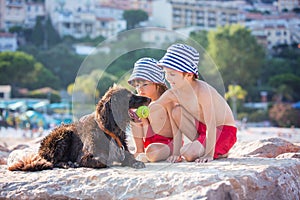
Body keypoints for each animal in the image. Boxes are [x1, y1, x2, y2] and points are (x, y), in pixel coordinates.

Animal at [8, 85, 151, 171]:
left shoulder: (123, 151)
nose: (149, 99)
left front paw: (135, 162)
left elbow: (129, 157)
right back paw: (68, 163)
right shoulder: (85, 156)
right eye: (129, 97)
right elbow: (102, 160)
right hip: (64, 134)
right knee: (54, 161)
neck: (109, 130)